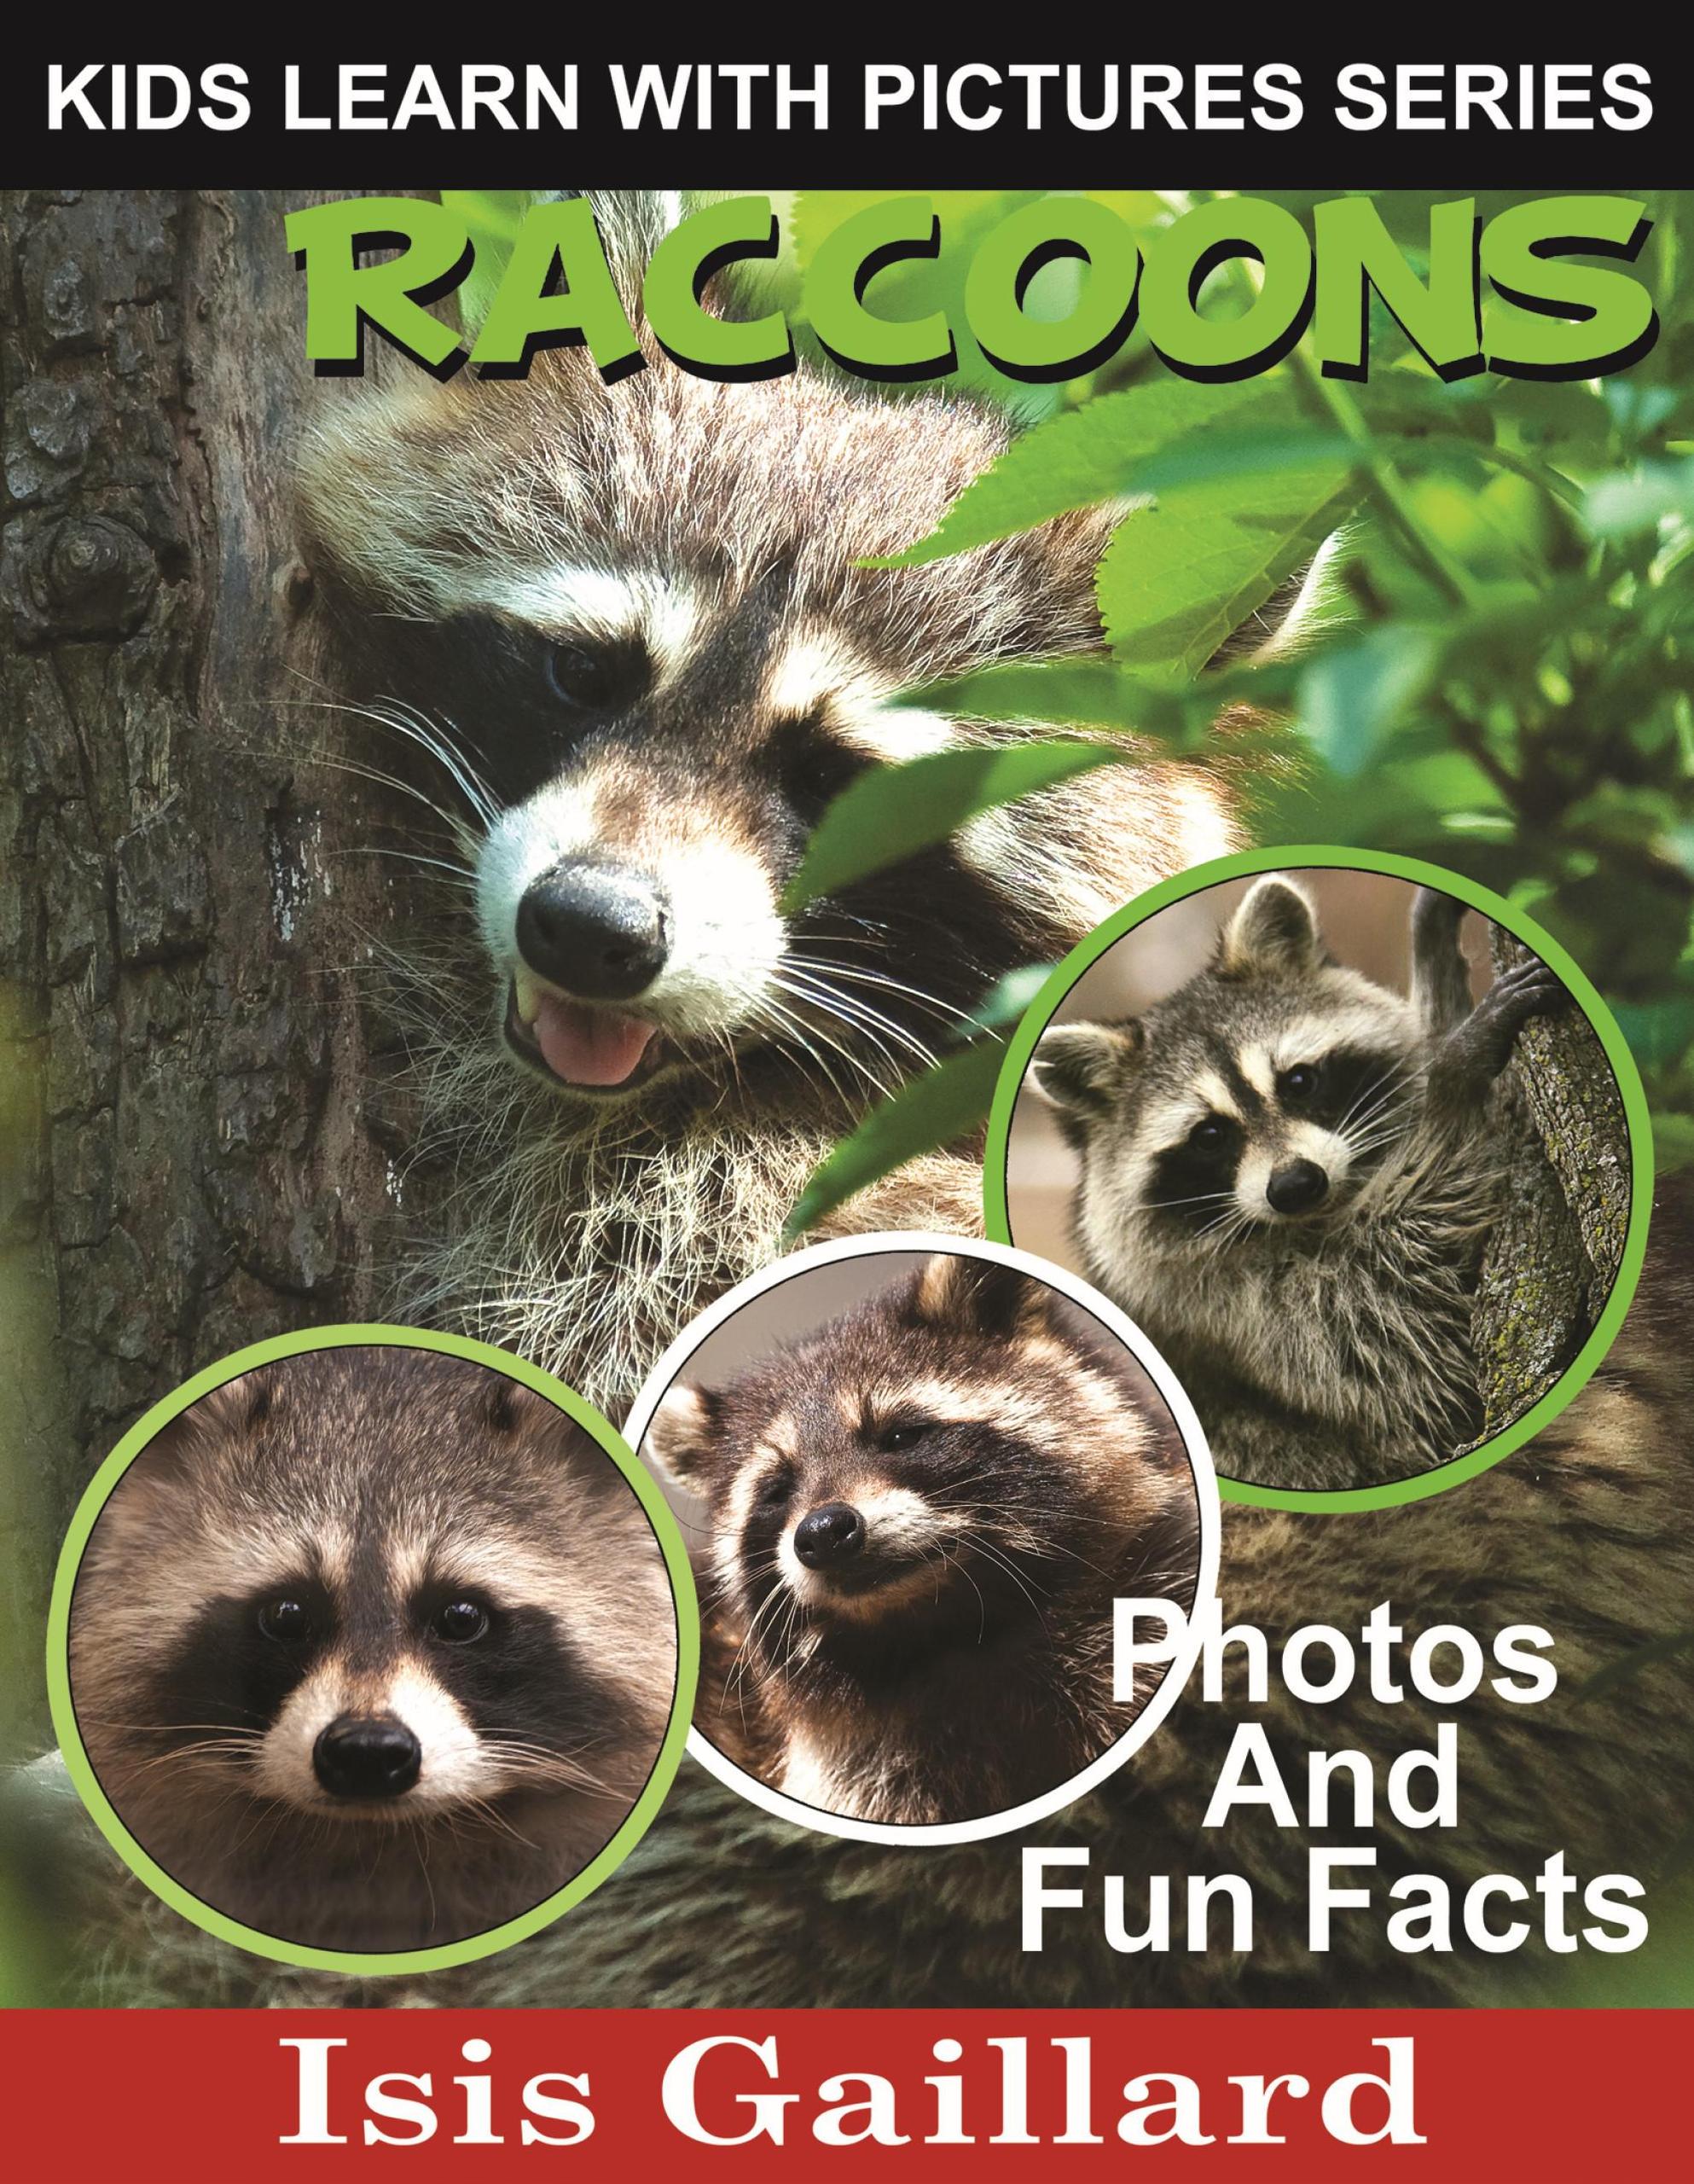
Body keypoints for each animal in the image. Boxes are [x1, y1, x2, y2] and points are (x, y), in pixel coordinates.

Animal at [1027, 877, 1573, 1490]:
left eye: (1298, 1082)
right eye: (1210, 1136)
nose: (1295, 1186)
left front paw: (1435, 976)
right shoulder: (1239, 1314)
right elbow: (1411, 1326)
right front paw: (1454, 1074)